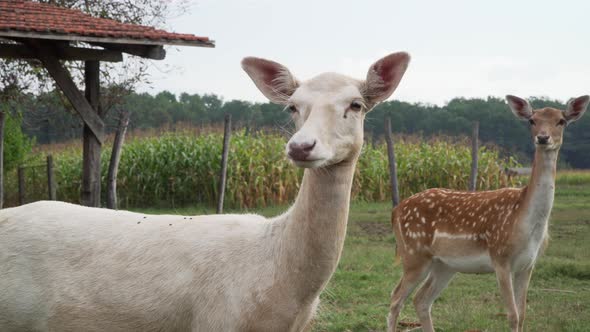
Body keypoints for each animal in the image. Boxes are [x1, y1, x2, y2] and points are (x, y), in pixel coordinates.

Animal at [388, 94, 590, 332]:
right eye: (532, 120)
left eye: (561, 121)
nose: (542, 138)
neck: (526, 222)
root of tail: (395, 211)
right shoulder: (500, 257)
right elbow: (512, 315)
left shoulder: (529, 264)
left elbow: (523, 315)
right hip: (414, 253)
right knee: (395, 298)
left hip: (444, 264)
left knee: (421, 299)